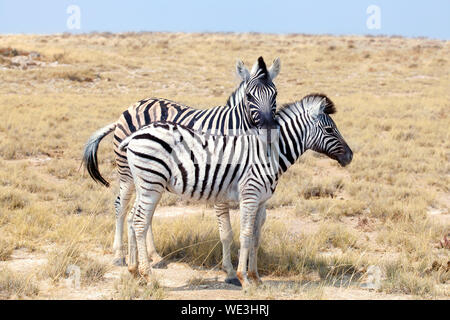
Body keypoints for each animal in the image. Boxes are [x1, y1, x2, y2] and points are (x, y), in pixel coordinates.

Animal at [81, 56, 282, 272]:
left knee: (145, 214)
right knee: (121, 205)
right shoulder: (221, 184)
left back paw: (154, 255)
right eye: (249, 96)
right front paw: (229, 268)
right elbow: (227, 232)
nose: (269, 131)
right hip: (127, 172)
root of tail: (135, 104)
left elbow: (256, 228)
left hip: (153, 176)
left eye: (275, 94)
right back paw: (119, 255)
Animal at [118, 93, 352, 288]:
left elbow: (256, 237)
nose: (350, 156)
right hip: (151, 184)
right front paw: (243, 278)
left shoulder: (261, 201)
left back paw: (134, 271)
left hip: (144, 184)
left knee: (132, 217)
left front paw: (256, 278)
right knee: (140, 222)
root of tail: (137, 134)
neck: (269, 152)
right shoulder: (250, 196)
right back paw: (148, 275)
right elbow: (245, 235)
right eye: (329, 130)